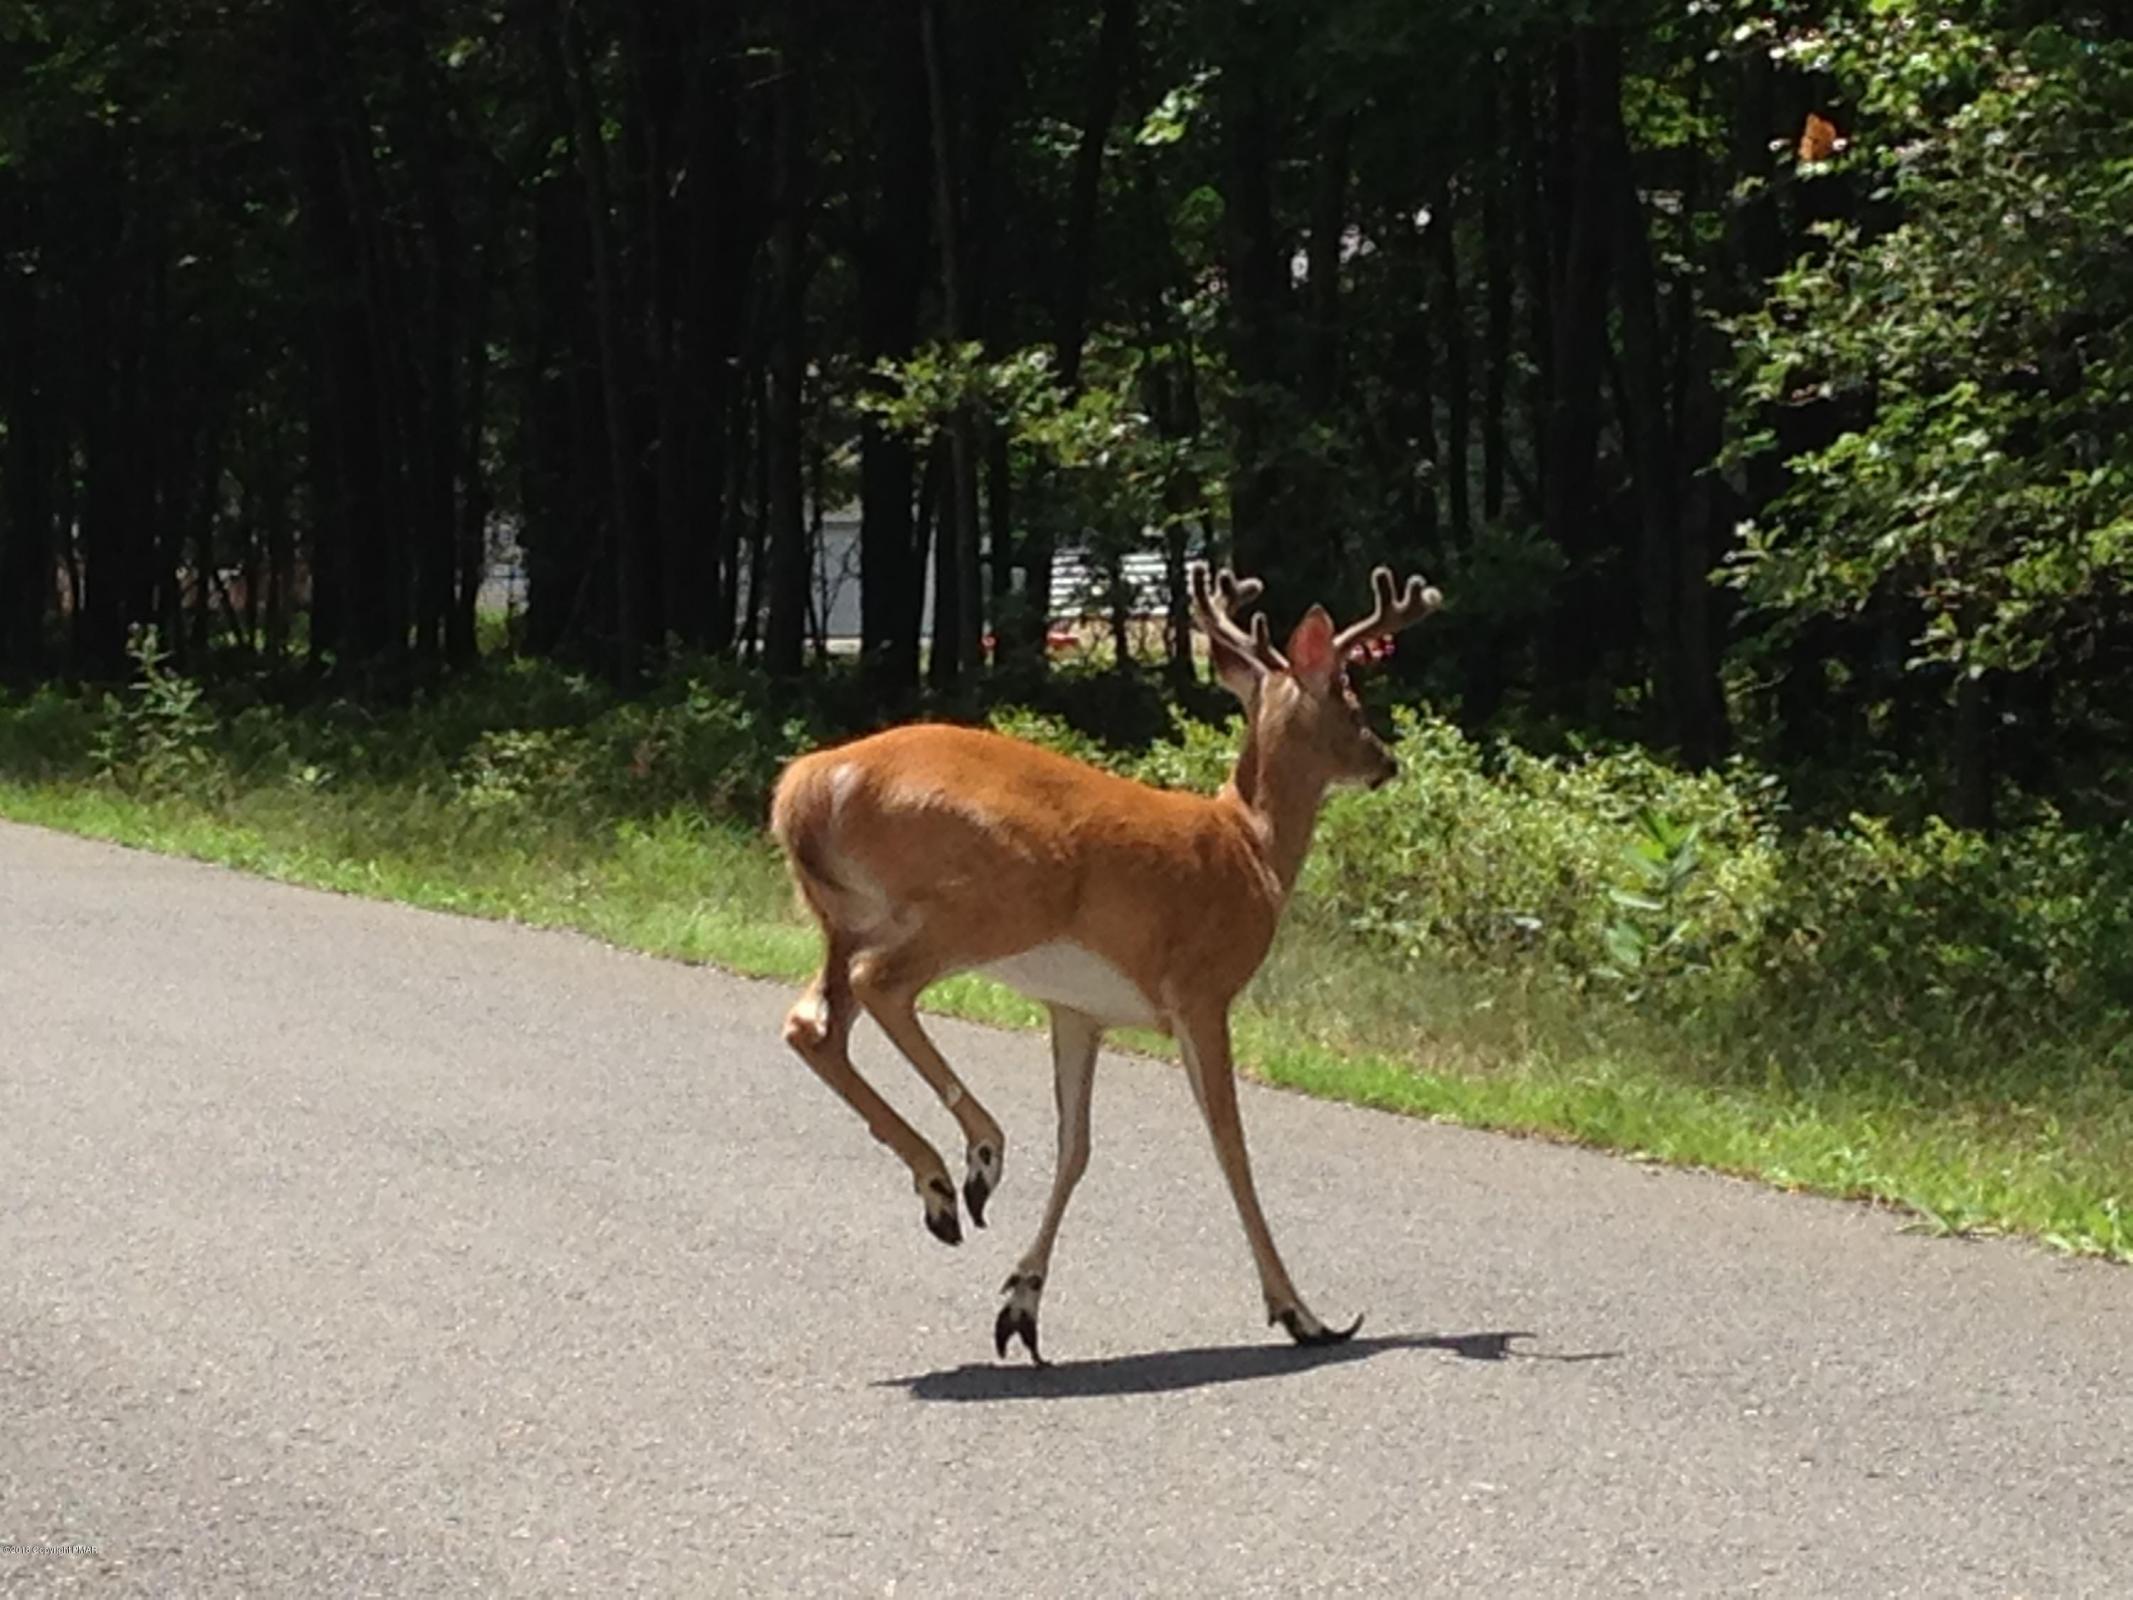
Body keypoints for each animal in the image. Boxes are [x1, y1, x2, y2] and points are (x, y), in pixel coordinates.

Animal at [768, 561, 1441, 1364]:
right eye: (1351, 698)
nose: (1386, 761)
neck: (1251, 847)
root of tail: (808, 784)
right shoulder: (1200, 990)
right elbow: (1231, 1148)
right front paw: (1301, 1313)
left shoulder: (1078, 1010)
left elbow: (1077, 1147)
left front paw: (1021, 1304)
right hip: (985, 902)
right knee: (879, 986)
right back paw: (979, 1152)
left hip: (844, 920)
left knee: (813, 1024)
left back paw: (940, 1187)